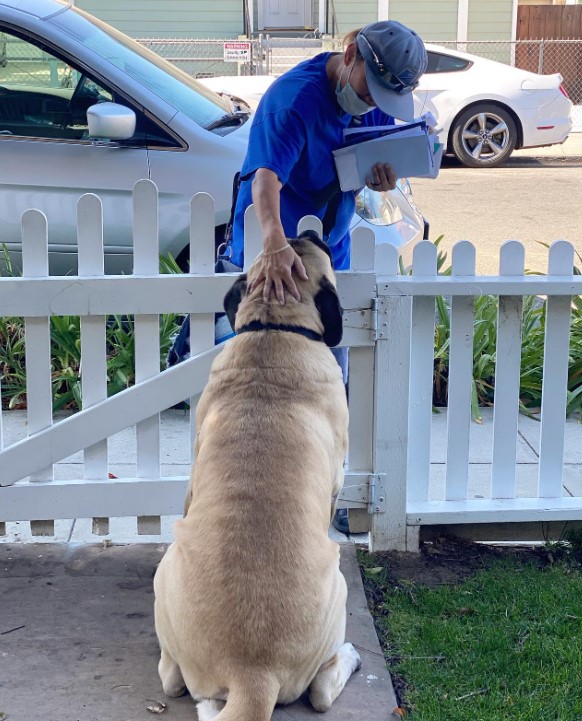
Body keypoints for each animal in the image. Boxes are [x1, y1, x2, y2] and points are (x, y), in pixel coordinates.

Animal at [156, 231, 360, 720]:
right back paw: (349, 658)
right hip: (339, 584)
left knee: (179, 684)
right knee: (321, 691)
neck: (274, 328)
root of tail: (253, 674)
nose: (311, 231)